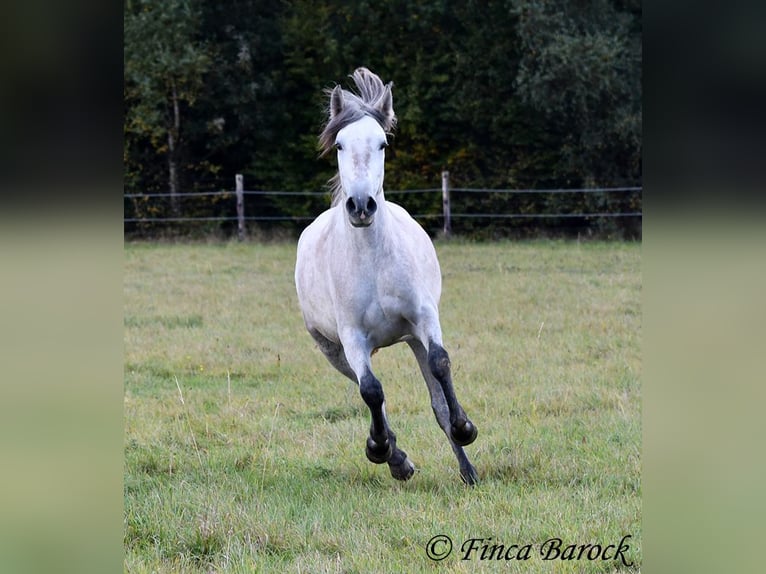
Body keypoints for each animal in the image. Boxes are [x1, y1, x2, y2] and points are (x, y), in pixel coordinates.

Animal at [296, 67, 480, 486]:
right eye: (340, 145)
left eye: (381, 144)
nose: (361, 205)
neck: (373, 261)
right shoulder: (352, 338)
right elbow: (372, 391)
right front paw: (382, 451)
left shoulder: (425, 319)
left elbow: (441, 366)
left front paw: (465, 428)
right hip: (333, 350)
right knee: (368, 391)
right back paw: (396, 457)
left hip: (411, 338)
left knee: (436, 399)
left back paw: (468, 470)